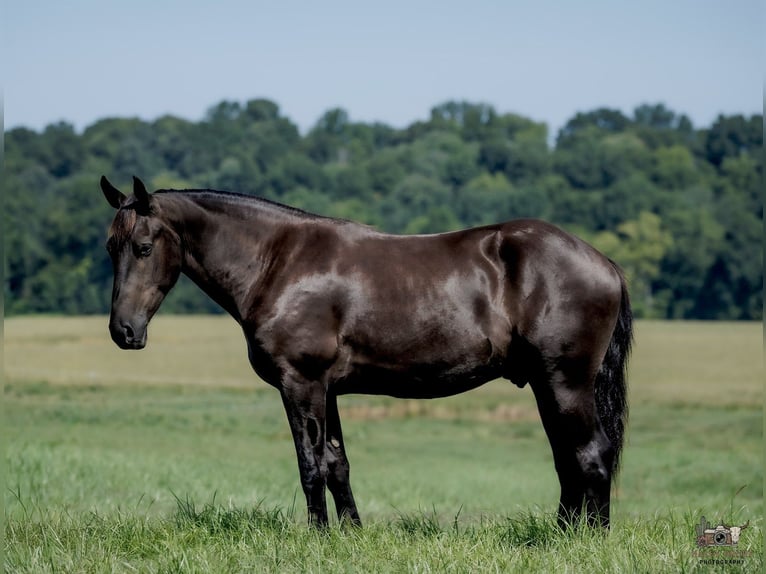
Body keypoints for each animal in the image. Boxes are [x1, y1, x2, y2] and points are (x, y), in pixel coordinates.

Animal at [100, 175, 632, 529]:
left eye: (143, 246)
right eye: (110, 247)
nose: (123, 331)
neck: (278, 262)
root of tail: (603, 262)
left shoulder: (301, 384)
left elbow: (311, 465)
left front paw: (318, 537)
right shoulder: (327, 390)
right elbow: (337, 465)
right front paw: (351, 536)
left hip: (565, 382)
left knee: (590, 454)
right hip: (548, 385)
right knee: (568, 459)